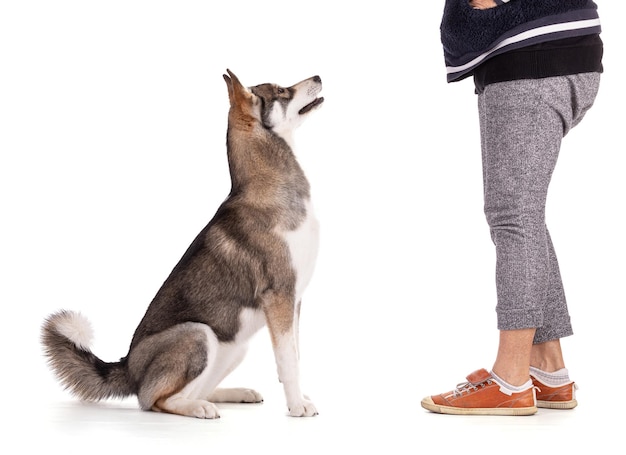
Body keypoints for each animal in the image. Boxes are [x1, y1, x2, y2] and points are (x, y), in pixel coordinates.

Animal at [40, 69, 322, 418]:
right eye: (282, 91)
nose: (318, 76)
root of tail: (128, 367)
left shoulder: (295, 300)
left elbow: (295, 356)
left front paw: (301, 398)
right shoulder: (279, 296)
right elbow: (287, 361)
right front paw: (297, 406)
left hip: (234, 345)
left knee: (196, 390)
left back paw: (232, 393)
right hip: (199, 334)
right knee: (157, 401)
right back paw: (199, 408)